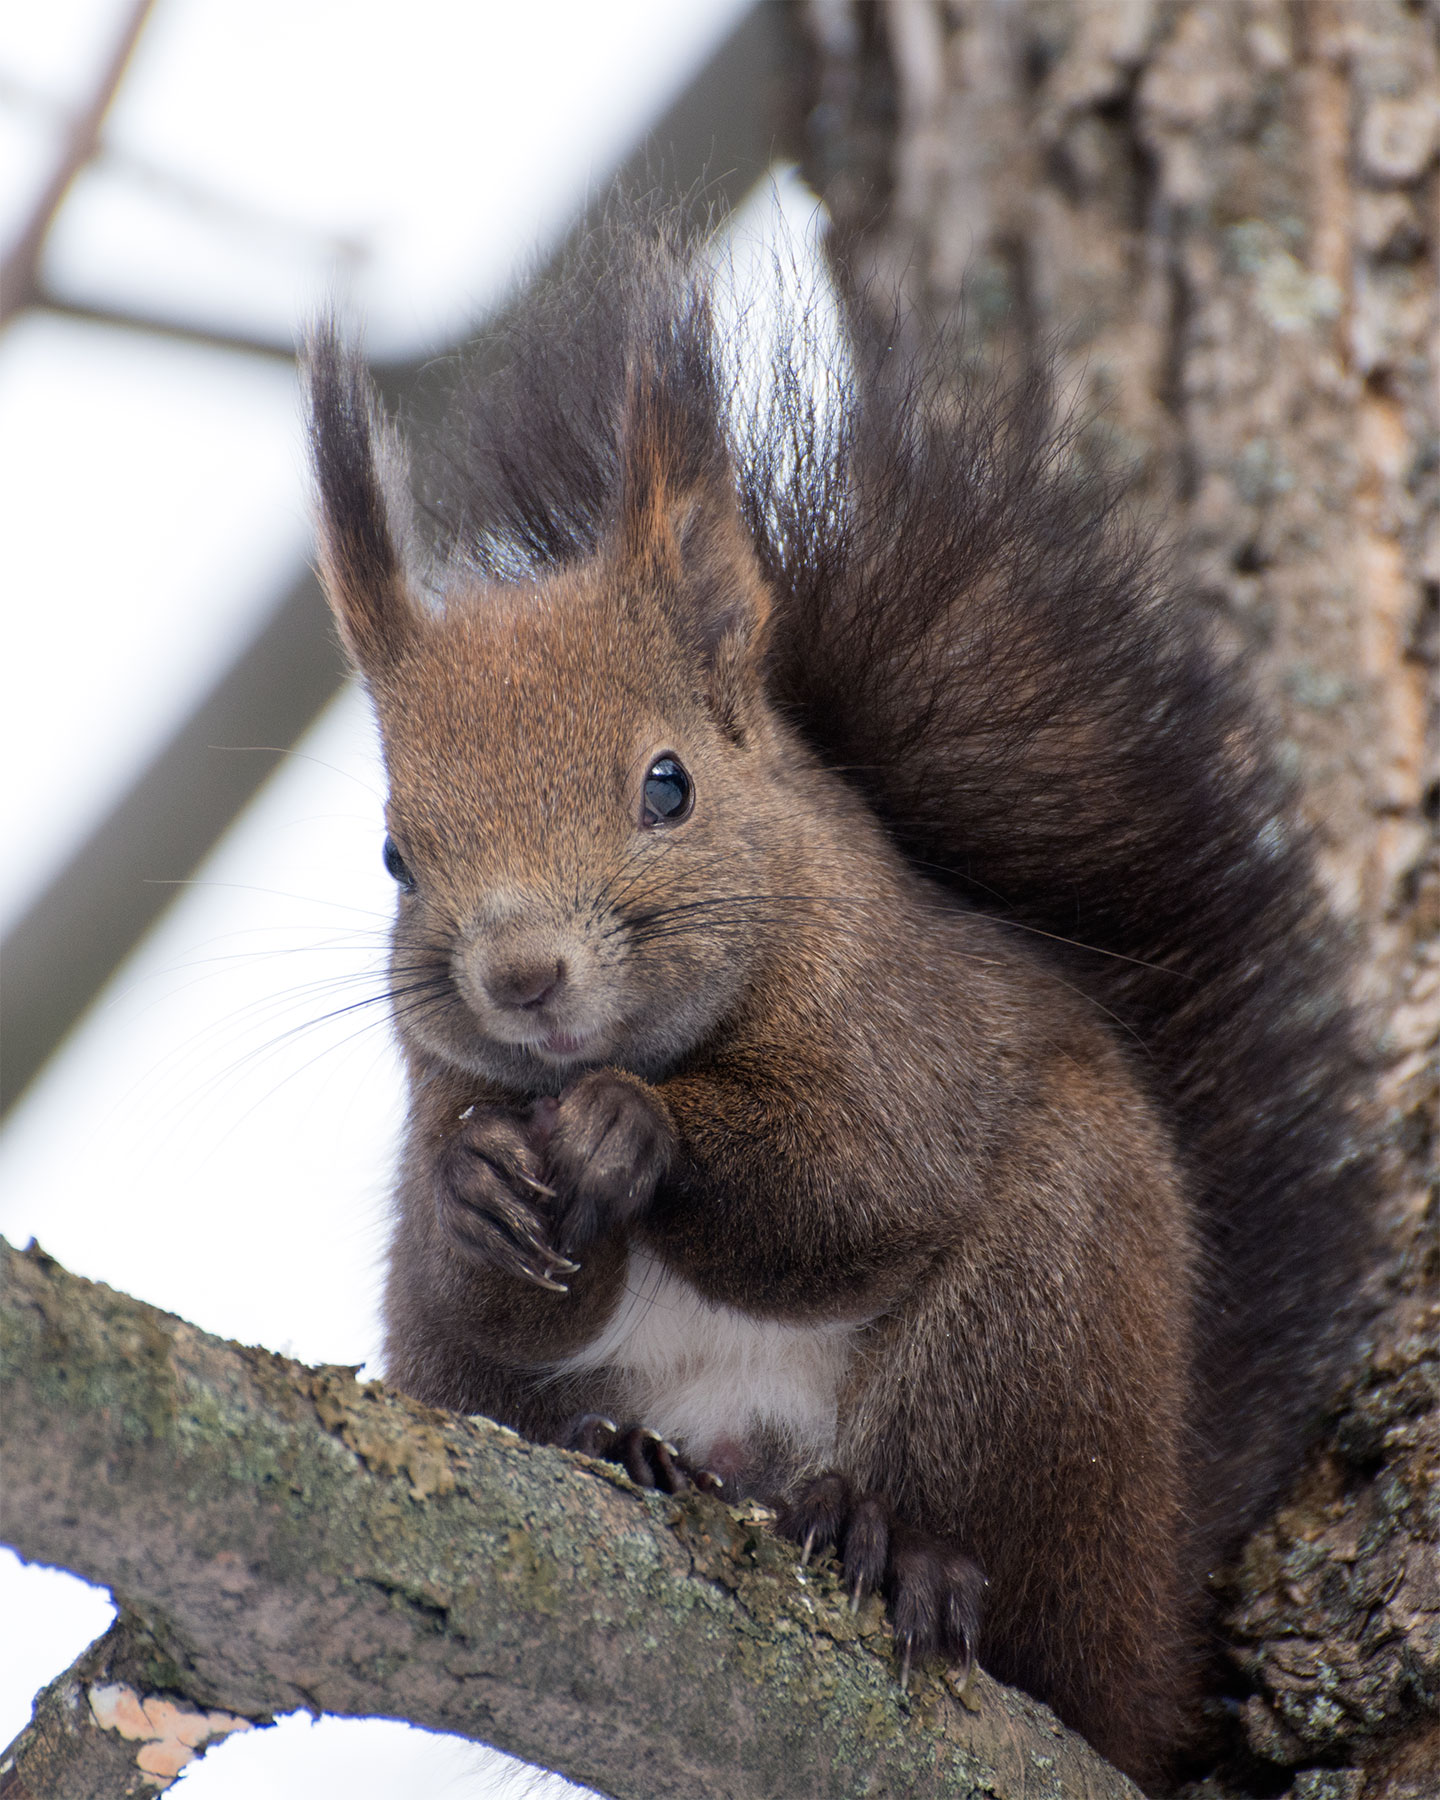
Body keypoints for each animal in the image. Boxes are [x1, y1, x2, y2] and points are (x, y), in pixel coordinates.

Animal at [304, 216, 1377, 1788]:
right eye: (394, 854)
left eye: (668, 783)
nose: (522, 977)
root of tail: (1150, 1637)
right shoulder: (447, 1104)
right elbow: (492, 1304)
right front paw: (479, 1186)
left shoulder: (902, 1033)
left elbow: (856, 1185)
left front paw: (632, 1129)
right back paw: (639, 1459)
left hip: (1038, 1329)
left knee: (1001, 1575)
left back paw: (899, 1548)